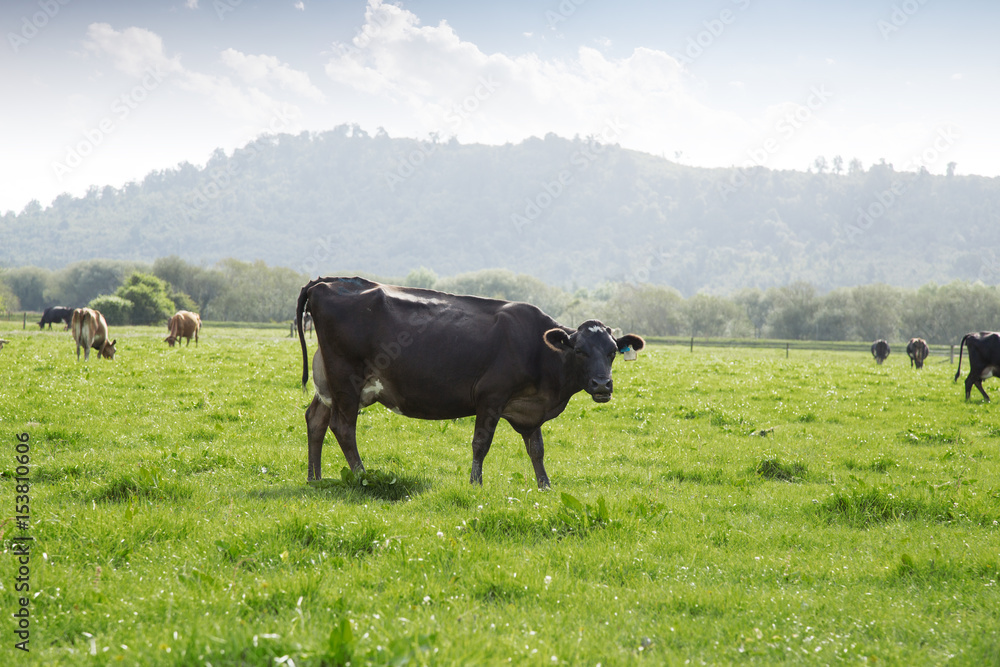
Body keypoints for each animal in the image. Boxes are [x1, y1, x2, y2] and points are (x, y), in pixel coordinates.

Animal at [294, 276, 648, 490]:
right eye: (580, 350)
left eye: (612, 352)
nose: (602, 385)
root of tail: (326, 282)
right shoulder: (491, 397)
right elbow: (481, 443)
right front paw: (475, 484)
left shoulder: (529, 410)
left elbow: (537, 449)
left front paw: (545, 486)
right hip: (346, 380)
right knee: (343, 427)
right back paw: (362, 476)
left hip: (329, 384)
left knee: (316, 420)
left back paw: (315, 479)